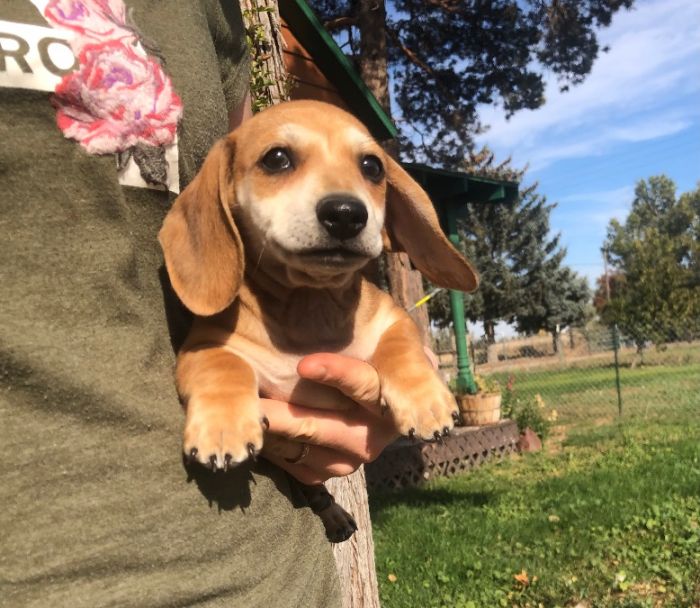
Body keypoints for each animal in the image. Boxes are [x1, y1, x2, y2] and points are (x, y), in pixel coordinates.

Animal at [159, 100, 478, 540]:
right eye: (276, 158)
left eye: (372, 166)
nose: (345, 214)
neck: (309, 305)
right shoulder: (204, 345)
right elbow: (223, 368)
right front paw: (223, 428)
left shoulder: (393, 320)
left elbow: (401, 349)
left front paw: (424, 402)